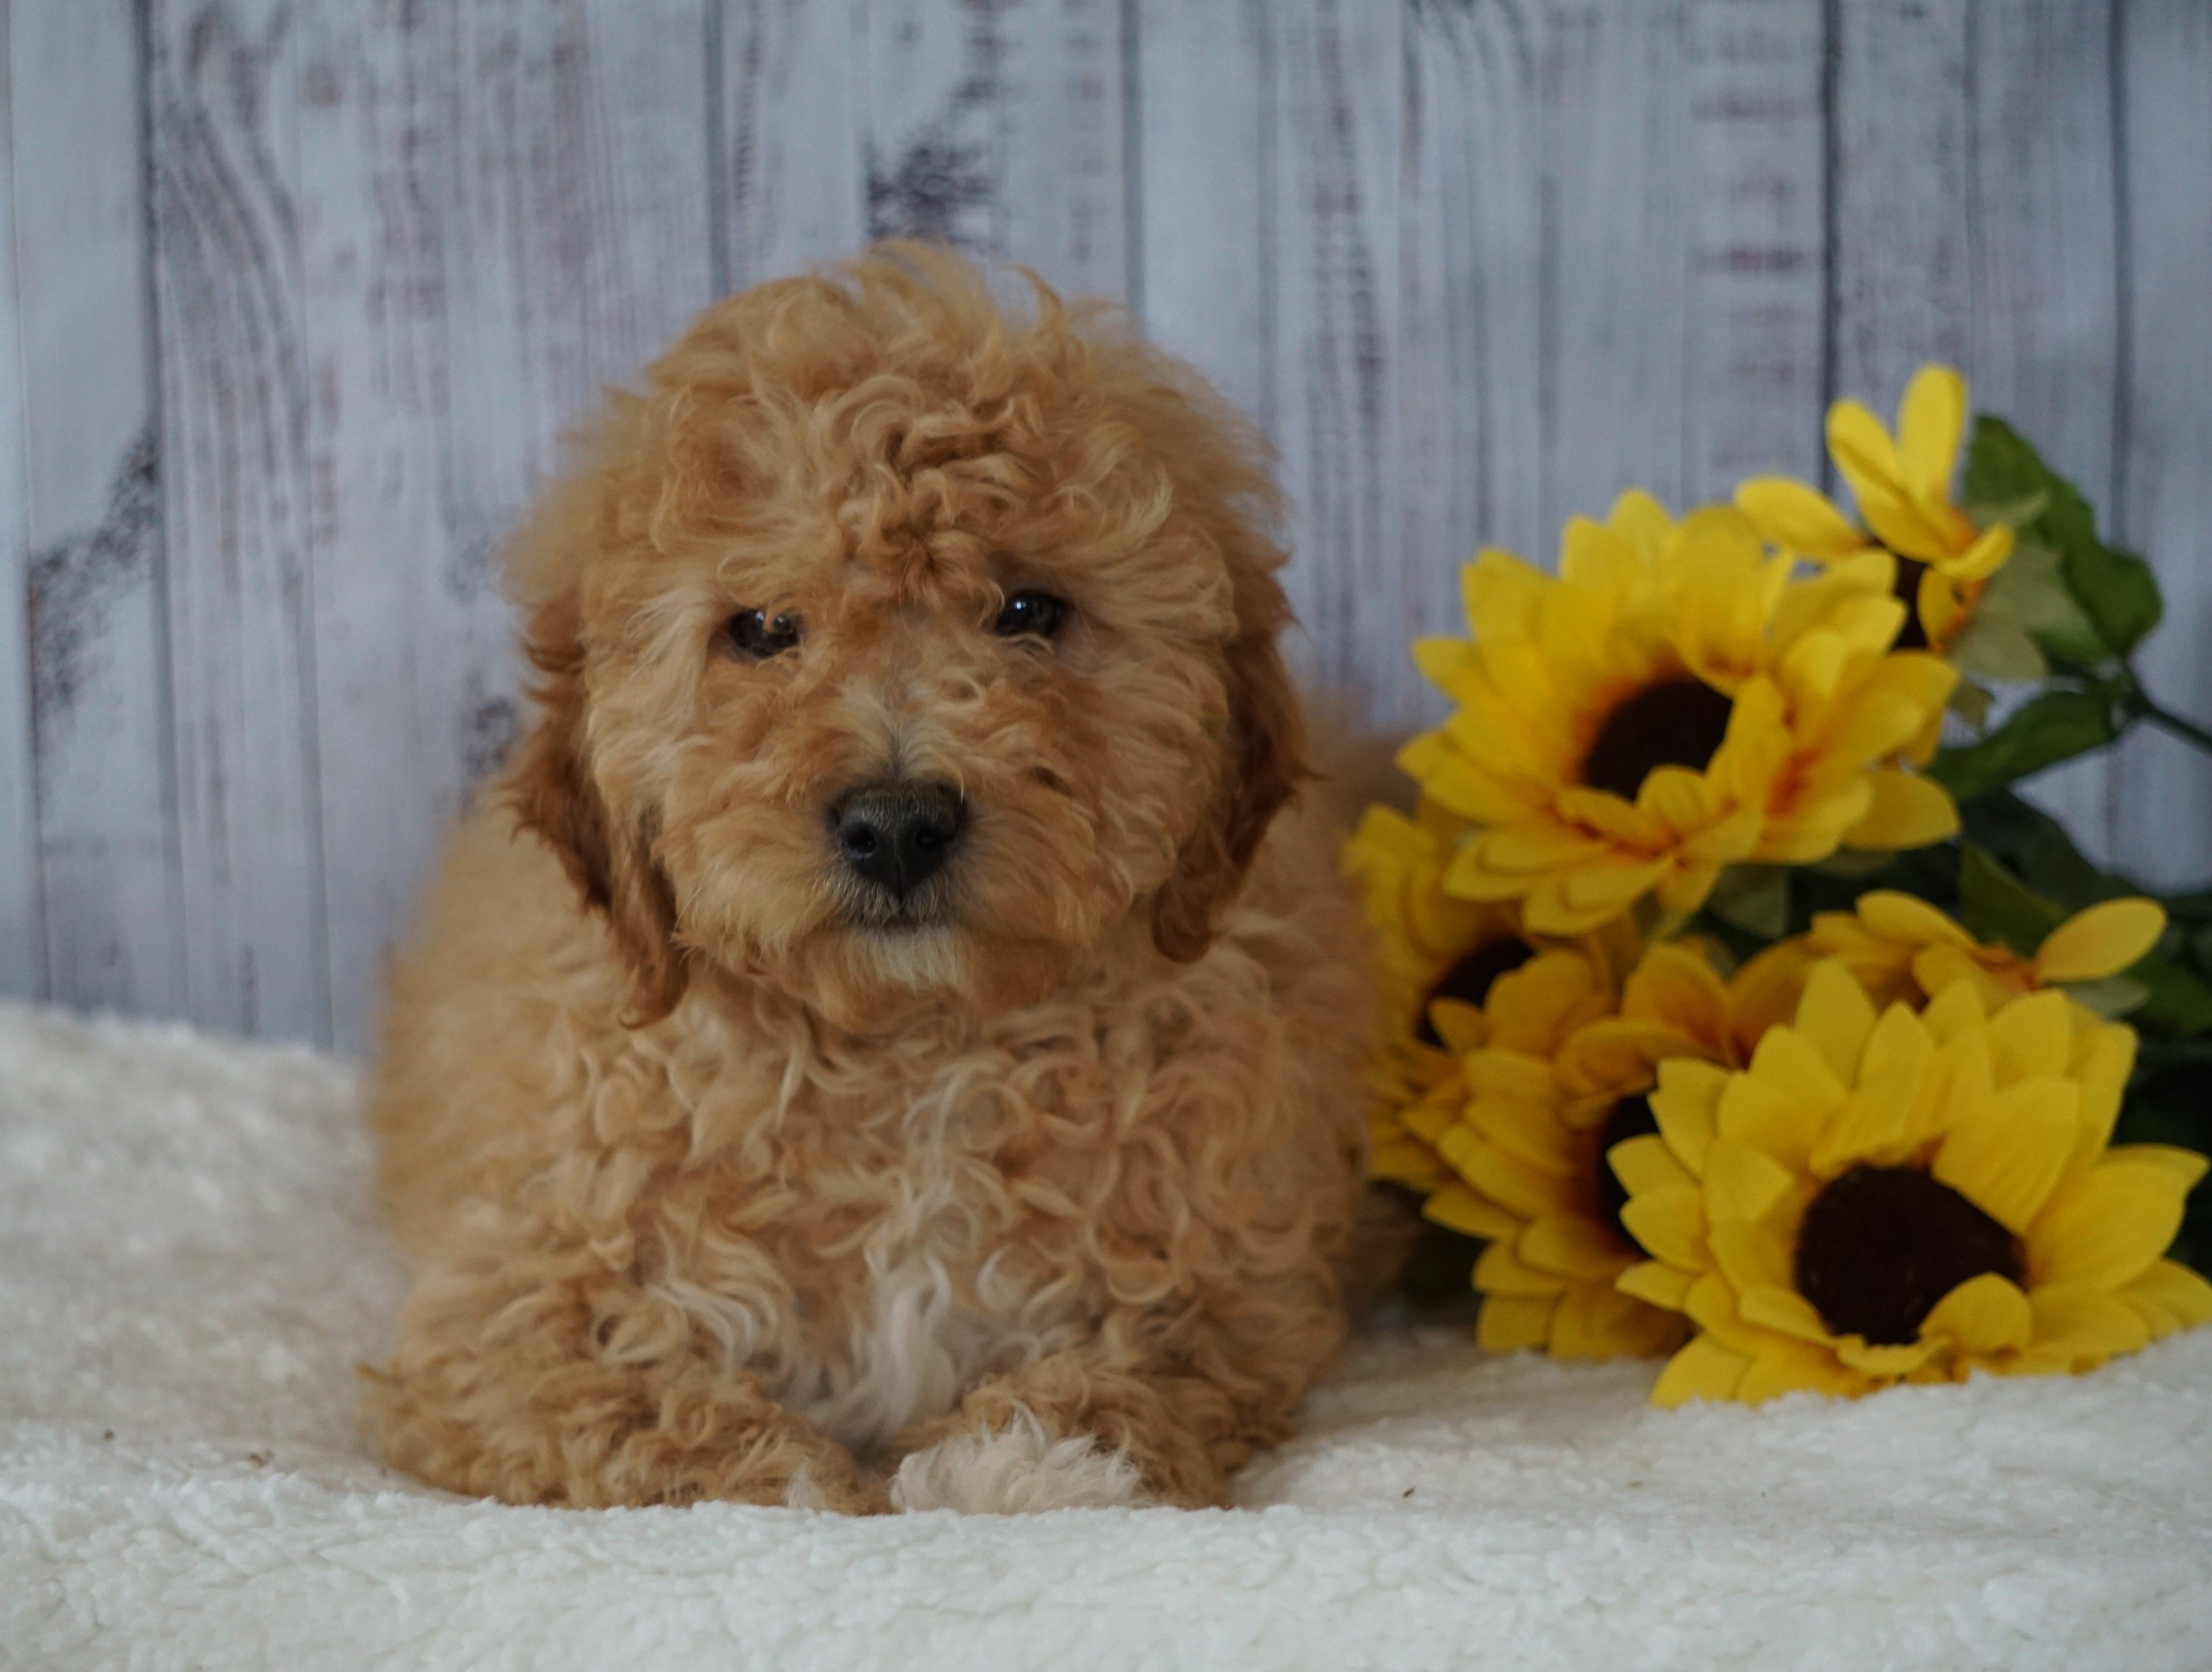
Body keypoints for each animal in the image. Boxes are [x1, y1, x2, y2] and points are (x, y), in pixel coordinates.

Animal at [360, 244, 1371, 1513]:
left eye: (1028, 611)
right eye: (761, 628)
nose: (895, 826)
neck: (907, 1046)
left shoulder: (1222, 1290)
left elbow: (1132, 1372)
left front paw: (1019, 1455)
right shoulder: (505, 1316)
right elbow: (627, 1410)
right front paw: (789, 1477)